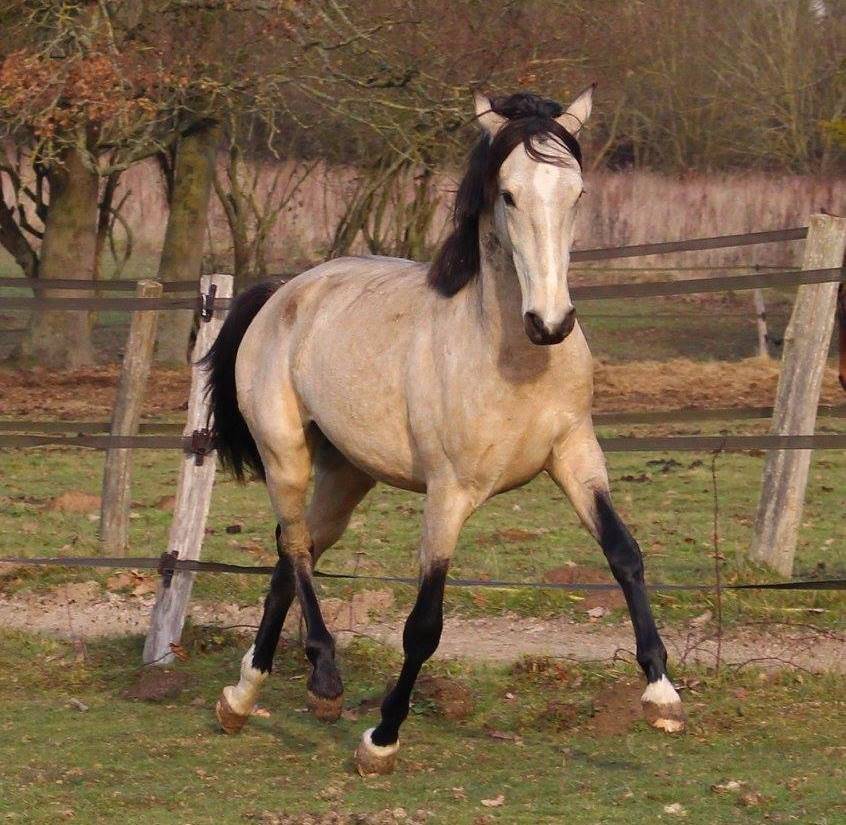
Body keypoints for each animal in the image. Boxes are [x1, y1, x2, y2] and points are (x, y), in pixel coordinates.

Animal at [204, 87, 685, 776]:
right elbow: (424, 624)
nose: (551, 322)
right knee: (293, 546)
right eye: (507, 194)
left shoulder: (576, 456)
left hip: (347, 475)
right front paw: (381, 740)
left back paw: (242, 697)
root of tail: (282, 292)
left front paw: (662, 695)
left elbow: (625, 555)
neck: (514, 360)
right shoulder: (449, 495)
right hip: (284, 454)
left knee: (293, 555)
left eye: (578, 193)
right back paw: (324, 679)